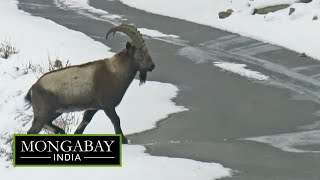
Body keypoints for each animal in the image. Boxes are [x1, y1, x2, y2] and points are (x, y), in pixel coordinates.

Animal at [24, 23, 155, 143]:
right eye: (140, 54)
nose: (152, 66)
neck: (116, 71)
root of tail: (33, 88)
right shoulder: (108, 106)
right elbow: (116, 120)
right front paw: (124, 140)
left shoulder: (93, 108)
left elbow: (85, 122)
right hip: (43, 112)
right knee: (33, 130)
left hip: (55, 111)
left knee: (47, 123)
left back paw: (60, 131)